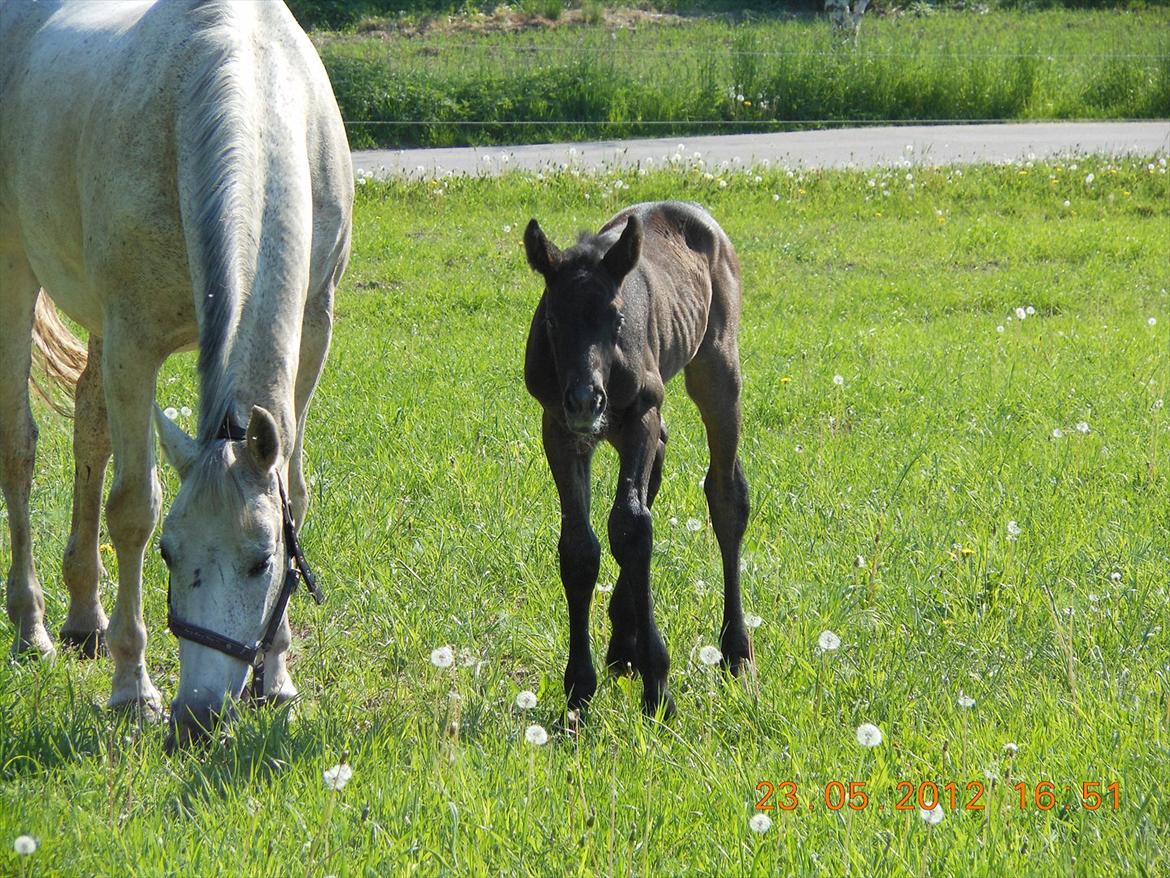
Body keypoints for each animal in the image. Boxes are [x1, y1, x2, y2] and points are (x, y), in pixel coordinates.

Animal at [2, 0, 353, 744]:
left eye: (261, 562)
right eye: (168, 555)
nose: (199, 716)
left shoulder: (314, 330)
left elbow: (294, 493)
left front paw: (278, 678)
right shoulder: (134, 342)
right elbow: (133, 508)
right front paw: (133, 689)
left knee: (90, 430)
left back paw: (84, 618)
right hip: (14, 274)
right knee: (19, 449)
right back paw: (33, 627)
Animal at [524, 201, 748, 721]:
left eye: (617, 318)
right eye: (552, 322)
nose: (585, 400)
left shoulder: (641, 415)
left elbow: (631, 526)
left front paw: (658, 686)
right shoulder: (559, 428)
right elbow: (580, 548)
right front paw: (579, 691)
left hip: (717, 366)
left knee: (726, 495)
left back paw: (735, 651)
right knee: (657, 472)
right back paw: (622, 643)